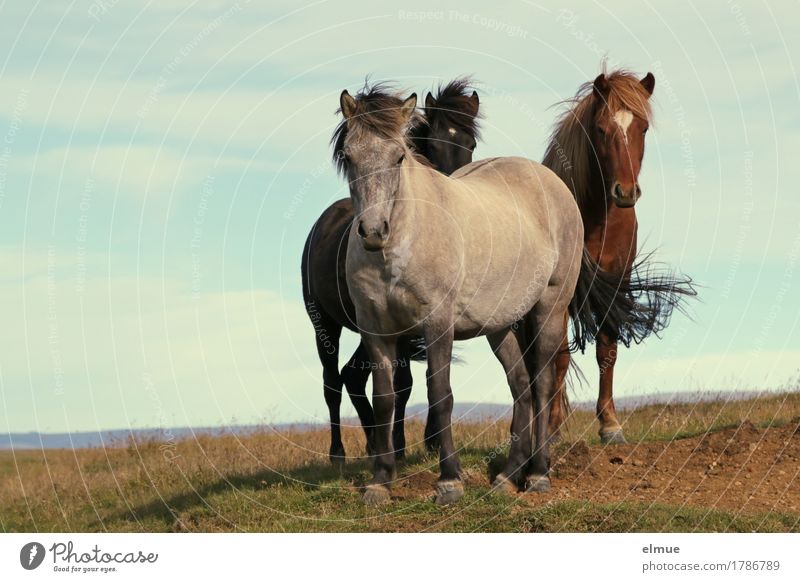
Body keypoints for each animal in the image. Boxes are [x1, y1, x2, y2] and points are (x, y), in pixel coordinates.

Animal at [302, 80, 482, 468]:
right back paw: (339, 454)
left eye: (470, 145)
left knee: (352, 377)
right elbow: (403, 383)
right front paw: (399, 447)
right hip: (324, 322)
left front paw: (428, 442)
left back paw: (373, 442)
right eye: (434, 143)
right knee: (331, 382)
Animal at [544, 69, 692, 442]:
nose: (625, 192)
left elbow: (607, 350)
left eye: (643, 127)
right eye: (600, 129)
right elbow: (560, 356)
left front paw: (610, 424)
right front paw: (551, 428)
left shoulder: (617, 282)